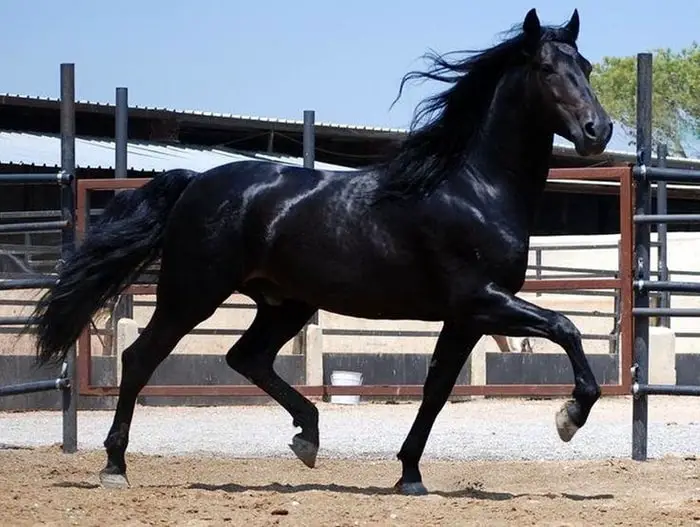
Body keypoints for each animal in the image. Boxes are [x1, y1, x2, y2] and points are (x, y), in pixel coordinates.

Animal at [30, 7, 612, 496]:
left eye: (584, 65)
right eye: (545, 68)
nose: (597, 130)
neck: (473, 188)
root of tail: (195, 181)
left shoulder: (466, 317)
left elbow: (437, 388)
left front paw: (410, 475)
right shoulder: (483, 300)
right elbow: (566, 327)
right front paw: (569, 417)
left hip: (285, 303)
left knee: (246, 357)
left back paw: (307, 437)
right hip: (191, 294)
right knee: (141, 358)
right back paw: (114, 467)